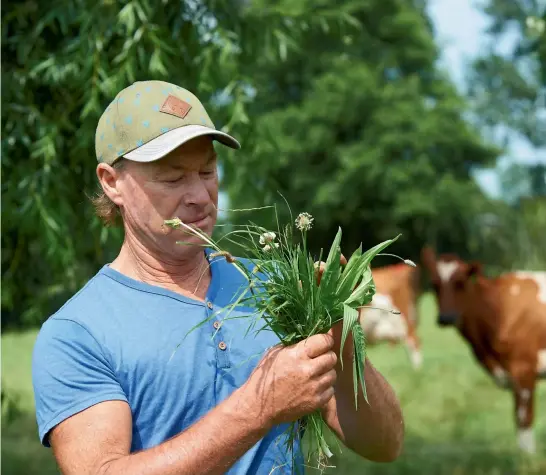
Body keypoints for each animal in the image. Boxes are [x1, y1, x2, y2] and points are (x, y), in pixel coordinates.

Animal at [418, 247, 540, 456]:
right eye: (434, 285)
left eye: (460, 283)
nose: (445, 318)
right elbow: (517, 419)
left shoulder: (524, 371)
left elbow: (524, 421)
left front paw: (528, 458)